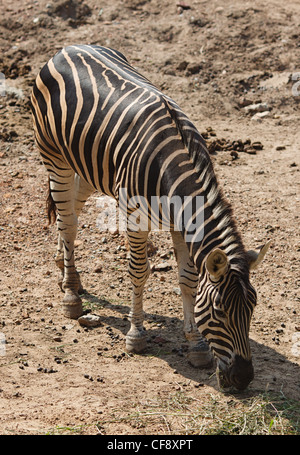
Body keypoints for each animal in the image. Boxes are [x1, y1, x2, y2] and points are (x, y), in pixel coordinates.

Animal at [30, 44, 270, 390]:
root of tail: (69, 48)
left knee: (71, 210)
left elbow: (188, 280)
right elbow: (139, 272)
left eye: (252, 307)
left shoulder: (181, 226)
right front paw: (136, 335)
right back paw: (71, 295)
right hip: (54, 158)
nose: (243, 379)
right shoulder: (134, 218)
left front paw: (196, 346)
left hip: (90, 166)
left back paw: (63, 269)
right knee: (68, 222)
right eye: (219, 311)